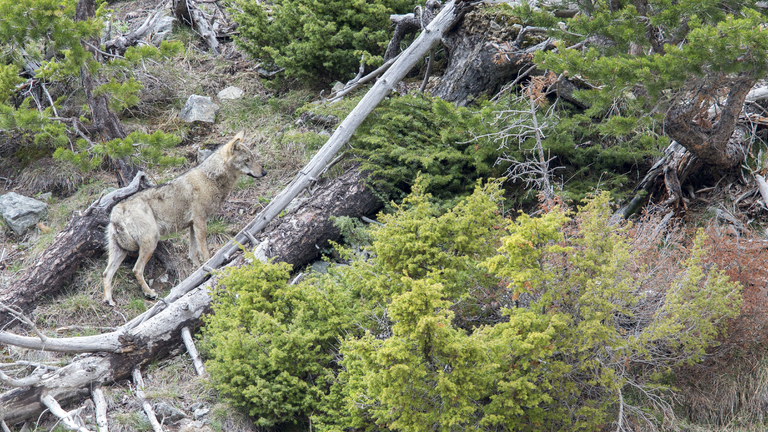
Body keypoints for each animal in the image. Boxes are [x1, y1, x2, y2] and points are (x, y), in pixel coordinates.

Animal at [103, 130, 268, 306]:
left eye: (253, 158)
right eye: (247, 160)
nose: (264, 172)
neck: (210, 179)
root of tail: (117, 211)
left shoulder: (191, 225)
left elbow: (193, 253)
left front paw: (197, 271)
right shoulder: (200, 221)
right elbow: (204, 251)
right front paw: (210, 266)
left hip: (120, 251)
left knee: (106, 273)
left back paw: (109, 300)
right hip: (150, 243)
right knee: (136, 269)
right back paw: (150, 293)